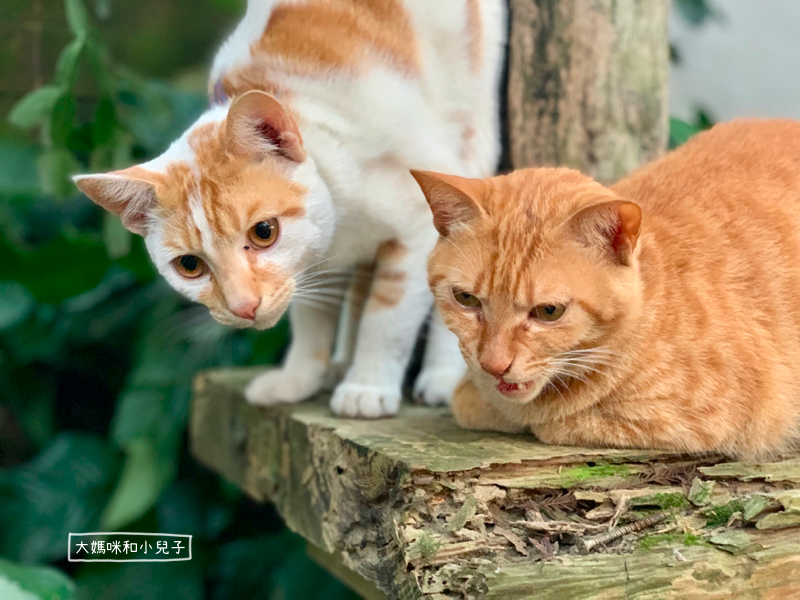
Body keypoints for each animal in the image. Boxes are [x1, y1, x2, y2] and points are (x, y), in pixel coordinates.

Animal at [75, 0, 506, 418]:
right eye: (189, 265)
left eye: (264, 232)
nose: (243, 307)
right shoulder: (309, 264)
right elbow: (313, 314)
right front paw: (300, 377)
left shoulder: (415, 229)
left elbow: (387, 319)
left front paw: (367, 385)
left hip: (470, 129)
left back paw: (440, 377)